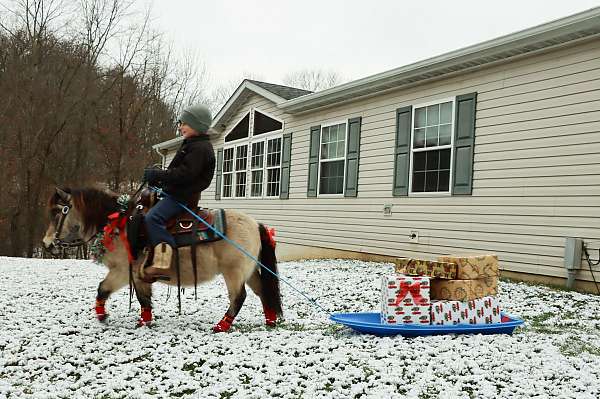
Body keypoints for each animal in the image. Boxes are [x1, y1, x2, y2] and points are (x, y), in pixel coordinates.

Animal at [42, 188, 282, 332]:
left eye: (58, 212)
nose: (46, 244)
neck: (118, 225)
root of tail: (255, 224)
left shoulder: (123, 271)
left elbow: (104, 289)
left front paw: (103, 316)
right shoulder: (137, 276)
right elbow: (144, 299)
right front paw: (144, 320)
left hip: (233, 272)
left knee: (238, 297)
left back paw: (221, 326)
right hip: (249, 271)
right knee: (263, 291)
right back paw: (270, 321)